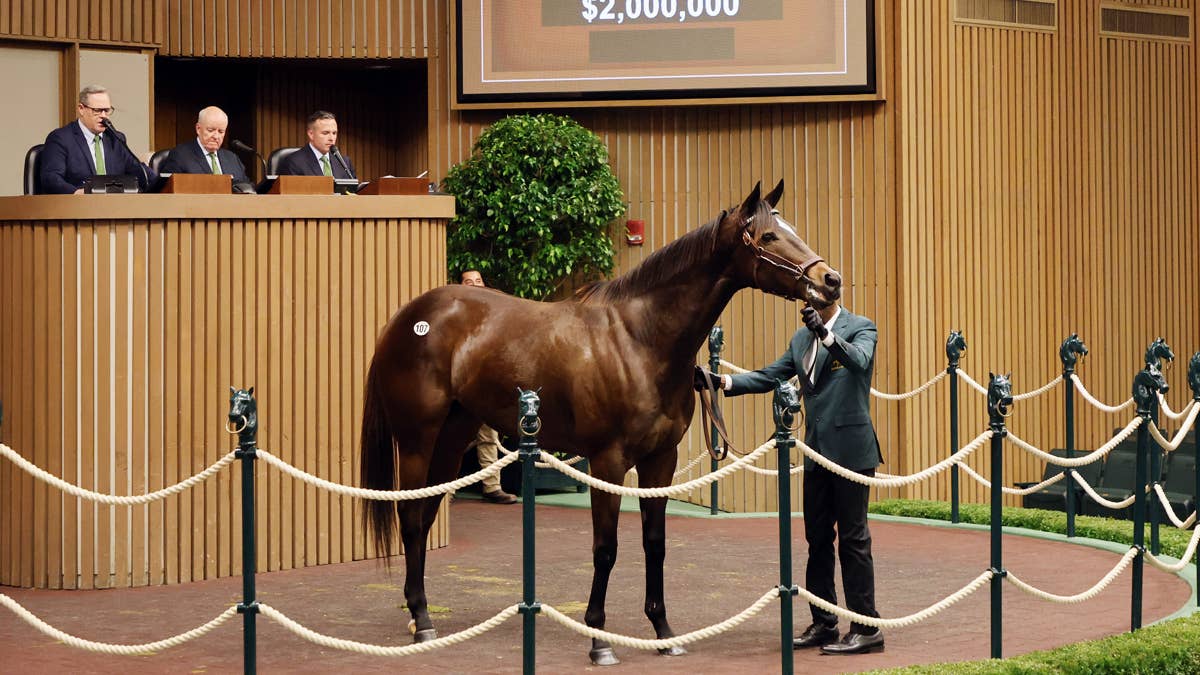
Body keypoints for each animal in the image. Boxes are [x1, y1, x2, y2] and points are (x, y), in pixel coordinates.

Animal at [358, 180, 842, 665]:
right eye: (767, 236)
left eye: (791, 228)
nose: (830, 280)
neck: (640, 340)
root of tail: (406, 317)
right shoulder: (608, 463)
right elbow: (606, 549)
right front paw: (599, 639)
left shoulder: (660, 460)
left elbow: (655, 542)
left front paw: (664, 632)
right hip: (417, 439)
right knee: (411, 515)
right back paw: (423, 621)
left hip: (452, 436)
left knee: (427, 510)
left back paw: (417, 612)